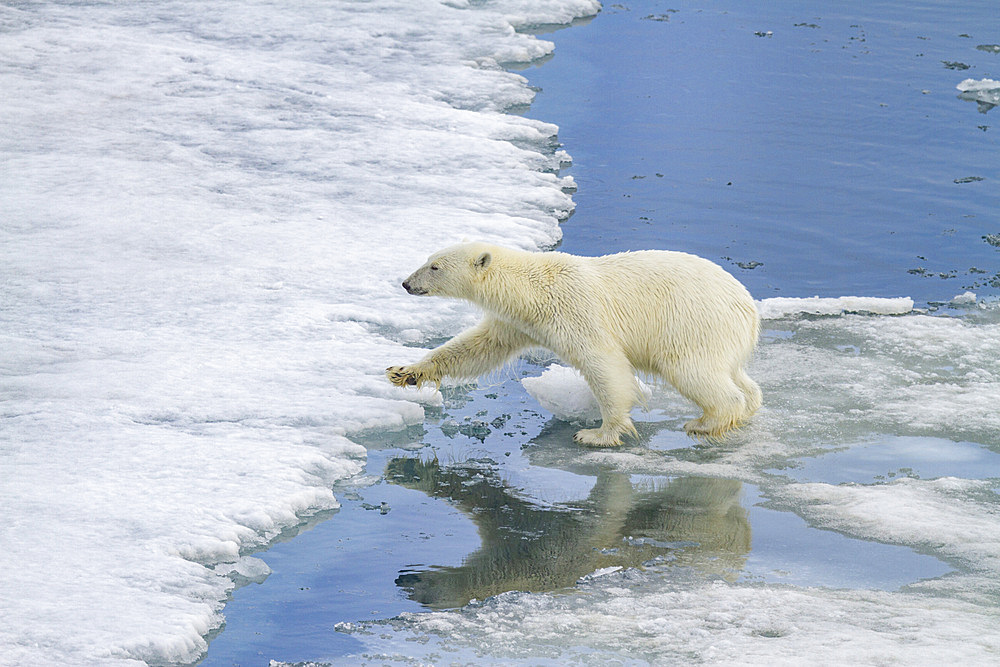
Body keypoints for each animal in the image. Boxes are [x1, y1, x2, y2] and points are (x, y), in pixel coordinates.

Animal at [386, 243, 760, 446]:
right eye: (428, 259)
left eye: (434, 266)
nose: (406, 283)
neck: (531, 288)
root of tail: (748, 308)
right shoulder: (517, 321)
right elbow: (478, 346)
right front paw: (405, 371)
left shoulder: (573, 309)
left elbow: (603, 363)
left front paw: (597, 434)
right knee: (735, 374)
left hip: (691, 323)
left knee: (692, 371)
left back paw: (706, 422)